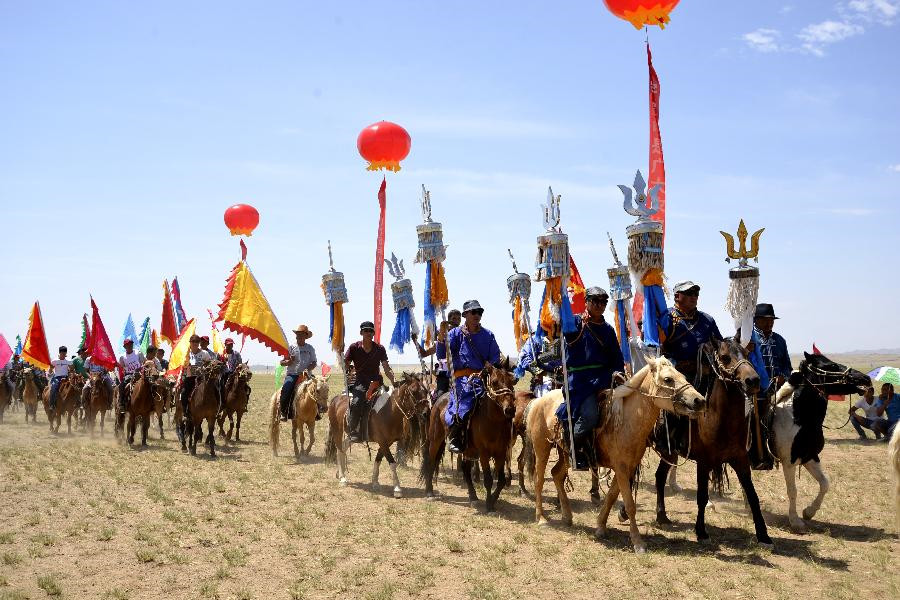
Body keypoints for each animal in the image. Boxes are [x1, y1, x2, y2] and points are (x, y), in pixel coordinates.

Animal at [418, 360, 516, 510]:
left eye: (512, 380)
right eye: (494, 382)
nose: (510, 409)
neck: (493, 420)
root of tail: (439, 400)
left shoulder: (500, 452)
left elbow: (501, 480)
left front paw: (492, 500)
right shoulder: (484, 453)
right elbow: (488, 479)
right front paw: (489, 504)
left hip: (468, 448)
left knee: (465, 469)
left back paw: (473, 496)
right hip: (435, 439)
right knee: (431, 460)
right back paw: (429, 492)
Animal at [524, 356, 708, 552]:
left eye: (683, 376)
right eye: (668, 379)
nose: (699, 400)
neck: (627, 421)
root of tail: (538, 401)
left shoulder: (627, 468)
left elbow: (612, 497)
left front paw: (600, 527)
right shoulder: (621, 468)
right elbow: (630, 504)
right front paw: (637, 542)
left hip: (566, 454)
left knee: (556, 474)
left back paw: (567, 516)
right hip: (542, 448)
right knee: (539, 480)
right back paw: (542, 519)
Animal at [652, 338, 772, 548]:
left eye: (747, 354)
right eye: (724, 357)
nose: (753, 381)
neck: (721, 421)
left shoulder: (741, 460)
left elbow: (752, 495)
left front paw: (763, 535)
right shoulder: (704, 462)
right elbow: (702, 496)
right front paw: (701, 532)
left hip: (670, 452)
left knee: (659, 477)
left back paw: (662, 516)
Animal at [768, 354, 868, 532]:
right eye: (832, 365)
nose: (866, 378)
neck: (798, 417)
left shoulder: (810, 457)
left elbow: (825, 484)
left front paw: (809, 512)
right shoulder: (789, 462)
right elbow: (792, 491)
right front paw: (795, 521)